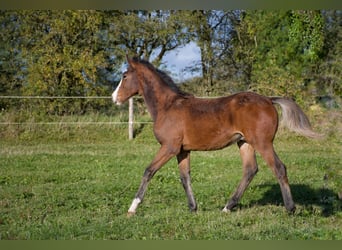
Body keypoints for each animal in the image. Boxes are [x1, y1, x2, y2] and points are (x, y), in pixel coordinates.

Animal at [112, 56, 320, 217]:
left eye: (124, 76)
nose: (114, 98)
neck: (168, 106)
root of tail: (269, 99)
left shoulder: (169, 147)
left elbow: (149, 171)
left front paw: (132, 208)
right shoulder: (182, 150)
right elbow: (185, 177)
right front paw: (193, 208)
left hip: (263, 142)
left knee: (278, 168)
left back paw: (290, 208)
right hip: (245, 142)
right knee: (250, 170)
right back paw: (228, 207)